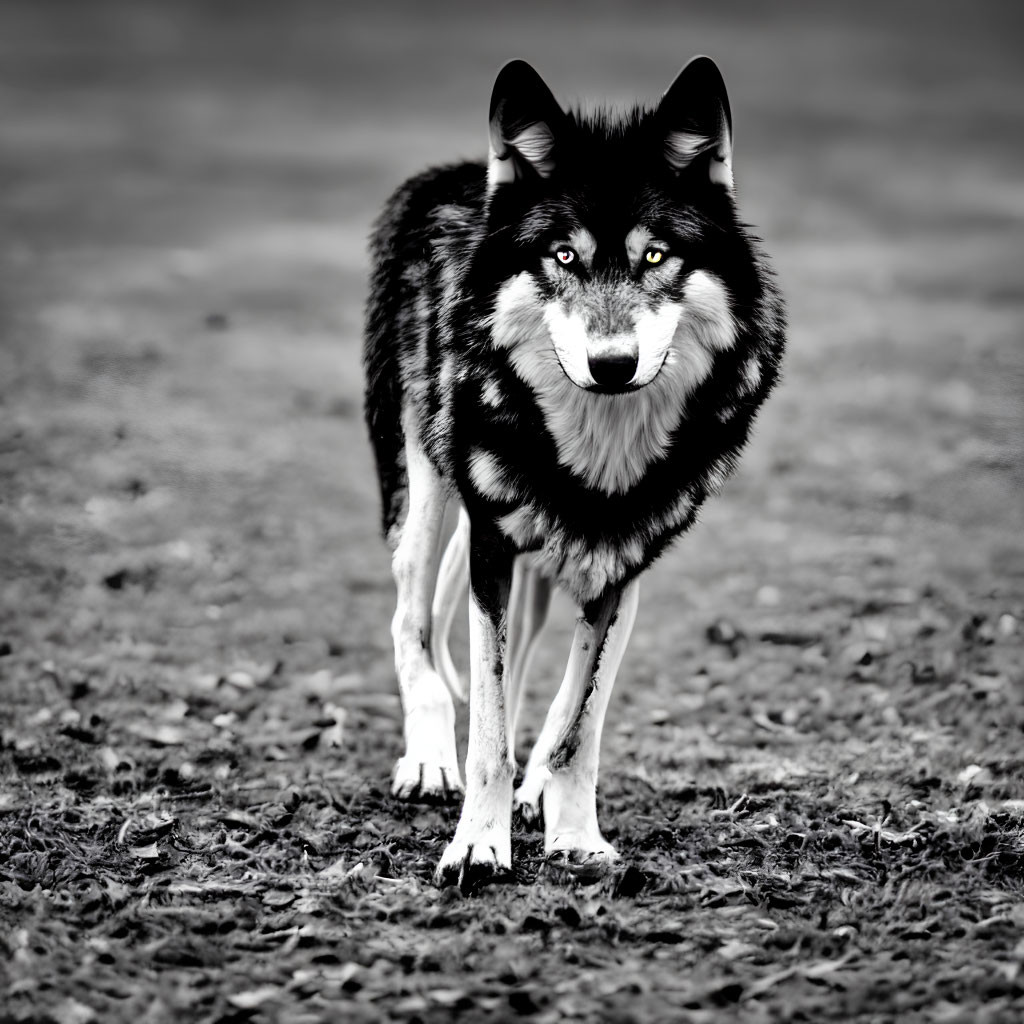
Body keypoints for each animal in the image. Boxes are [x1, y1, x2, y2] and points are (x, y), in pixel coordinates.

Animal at [364, 58, 786, 888]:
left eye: (656, 256)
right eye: (564, 257)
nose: (612, 364)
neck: (600, 452)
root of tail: (458, 172)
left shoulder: (624, 565)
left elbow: (576, 723)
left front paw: (574, 834)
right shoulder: (493, 546)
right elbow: (489, 726)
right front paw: (477, 845)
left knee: (523, 666)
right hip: (426, 492)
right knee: (411, 620)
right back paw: (428, 761)